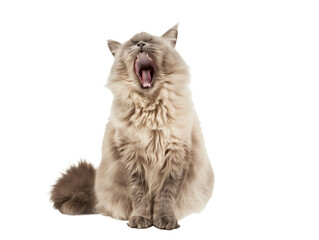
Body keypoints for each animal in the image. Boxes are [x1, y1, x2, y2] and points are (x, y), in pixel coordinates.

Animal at [51, 24, 215, 231]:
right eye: (133, 43)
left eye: (150, 41)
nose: (141, 44)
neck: (150, 109)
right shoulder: (131, 156)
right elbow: (139, 195)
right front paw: (140, 219)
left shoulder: (176, 155)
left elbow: (166, 195)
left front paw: (165, 220)